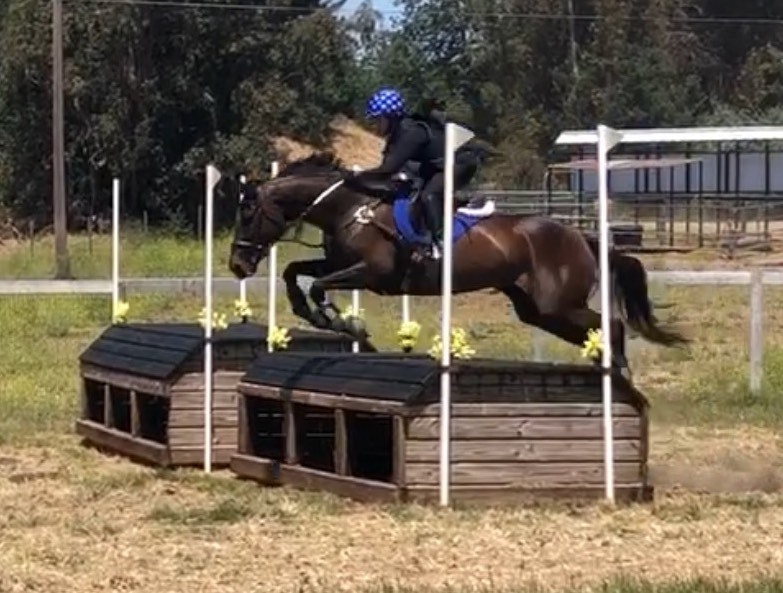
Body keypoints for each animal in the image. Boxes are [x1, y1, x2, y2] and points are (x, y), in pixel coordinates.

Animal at [227, 152, 688, 374]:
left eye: (248, 213)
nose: (236, 266)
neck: (349, 207)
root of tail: (580, 235)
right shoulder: (337, 263)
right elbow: (296, 273)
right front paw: (314, 314)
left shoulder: (373, 274)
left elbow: (319, 285)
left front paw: (340, 321)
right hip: (539, 310)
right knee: (595, 330)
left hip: (559, 303)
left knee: (613, 325)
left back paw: (620, 372)